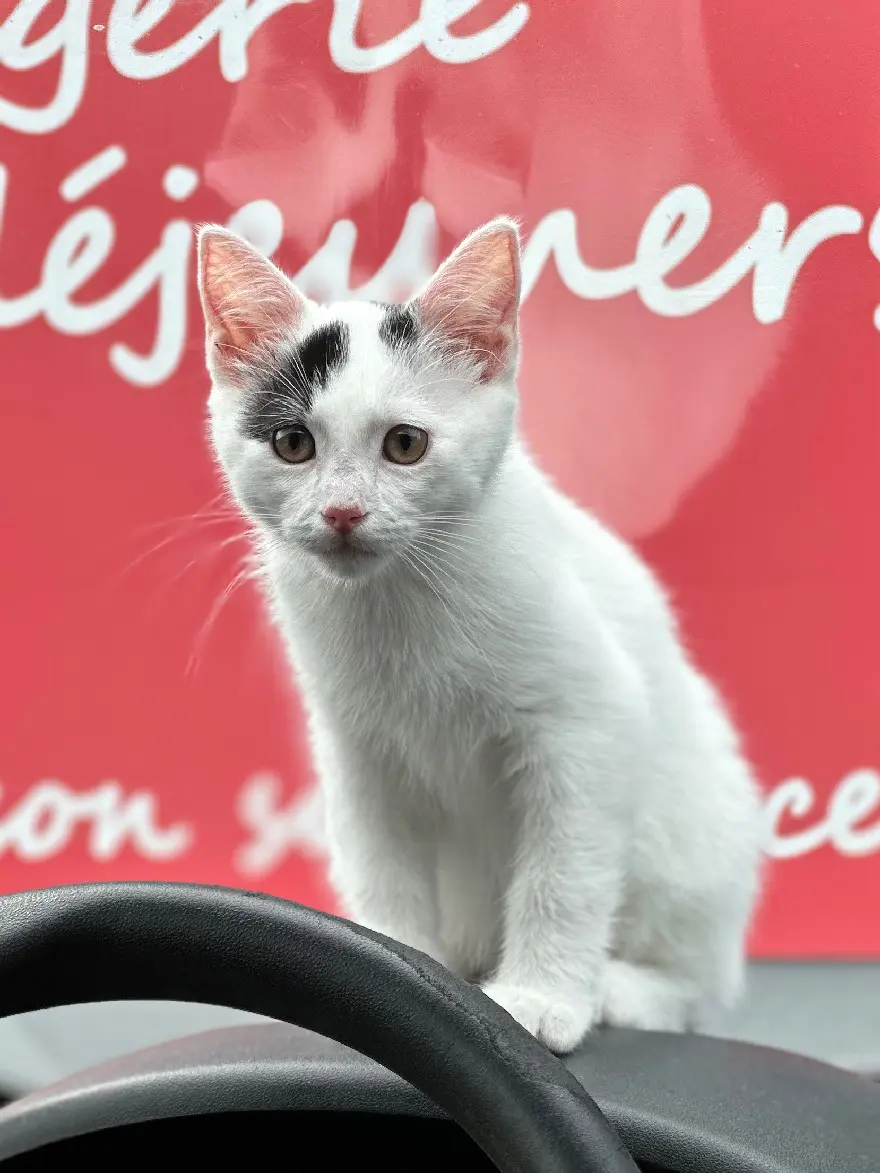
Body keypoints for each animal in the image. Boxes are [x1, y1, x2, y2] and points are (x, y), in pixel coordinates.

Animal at [198, 215, 765, 1051]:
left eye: (405, 444)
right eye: (292, 444)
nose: (342, 512)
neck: (400, 599)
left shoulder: (589, 723)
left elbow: (564, 869)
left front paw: (541, 997)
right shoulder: (358, 748)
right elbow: (382, 868)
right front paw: (388, 978)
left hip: (695, 836)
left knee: (698, 984)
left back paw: (627, 988)